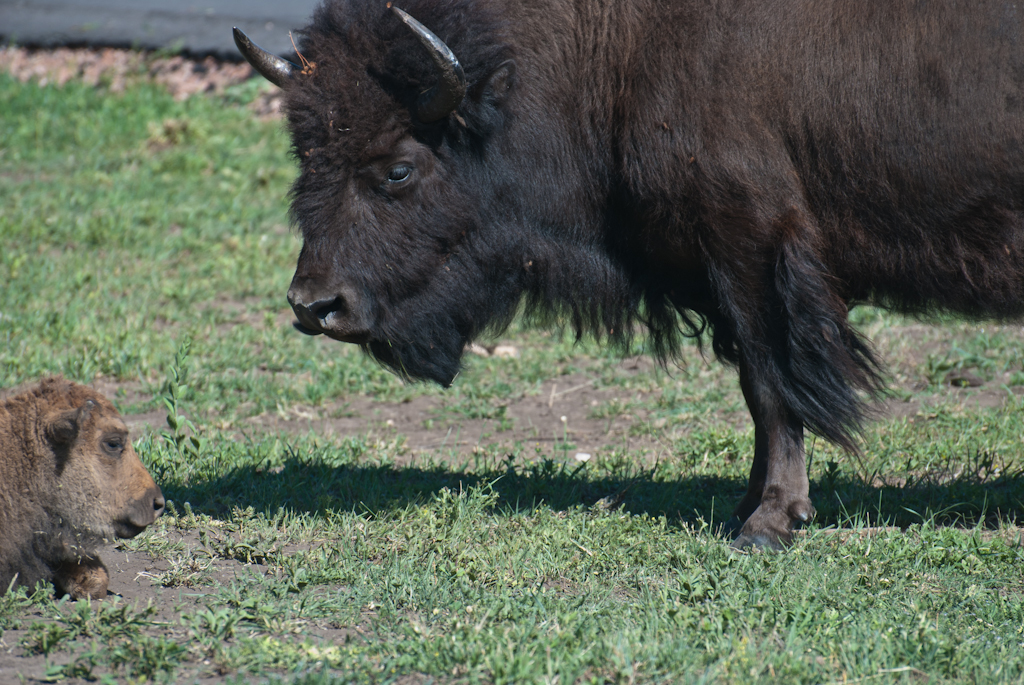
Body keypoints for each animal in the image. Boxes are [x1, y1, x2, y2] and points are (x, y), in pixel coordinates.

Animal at [232, 0, 1024, 544]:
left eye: (399, 167)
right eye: (305, 155)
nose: (315, 305)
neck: (611, 48)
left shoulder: (752, 249)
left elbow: (774, 384)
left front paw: (767, 523)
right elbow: (755, 389)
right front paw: (746, 504)